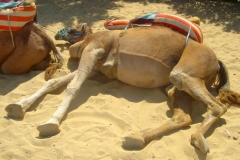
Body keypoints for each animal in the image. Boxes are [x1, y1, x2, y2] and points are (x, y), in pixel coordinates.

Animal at [5, 24, 240, 153]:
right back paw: (136, 138)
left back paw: (198, 139)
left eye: (72, 28)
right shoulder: (96, 69)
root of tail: (217, 60)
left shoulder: (93, 49)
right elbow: (53, 82)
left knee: (217, 107)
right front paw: (17, 106)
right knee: (183, 115)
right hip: (179, 84)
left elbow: (73, 86)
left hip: (184, 73)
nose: (57, 34)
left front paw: (50, 123)